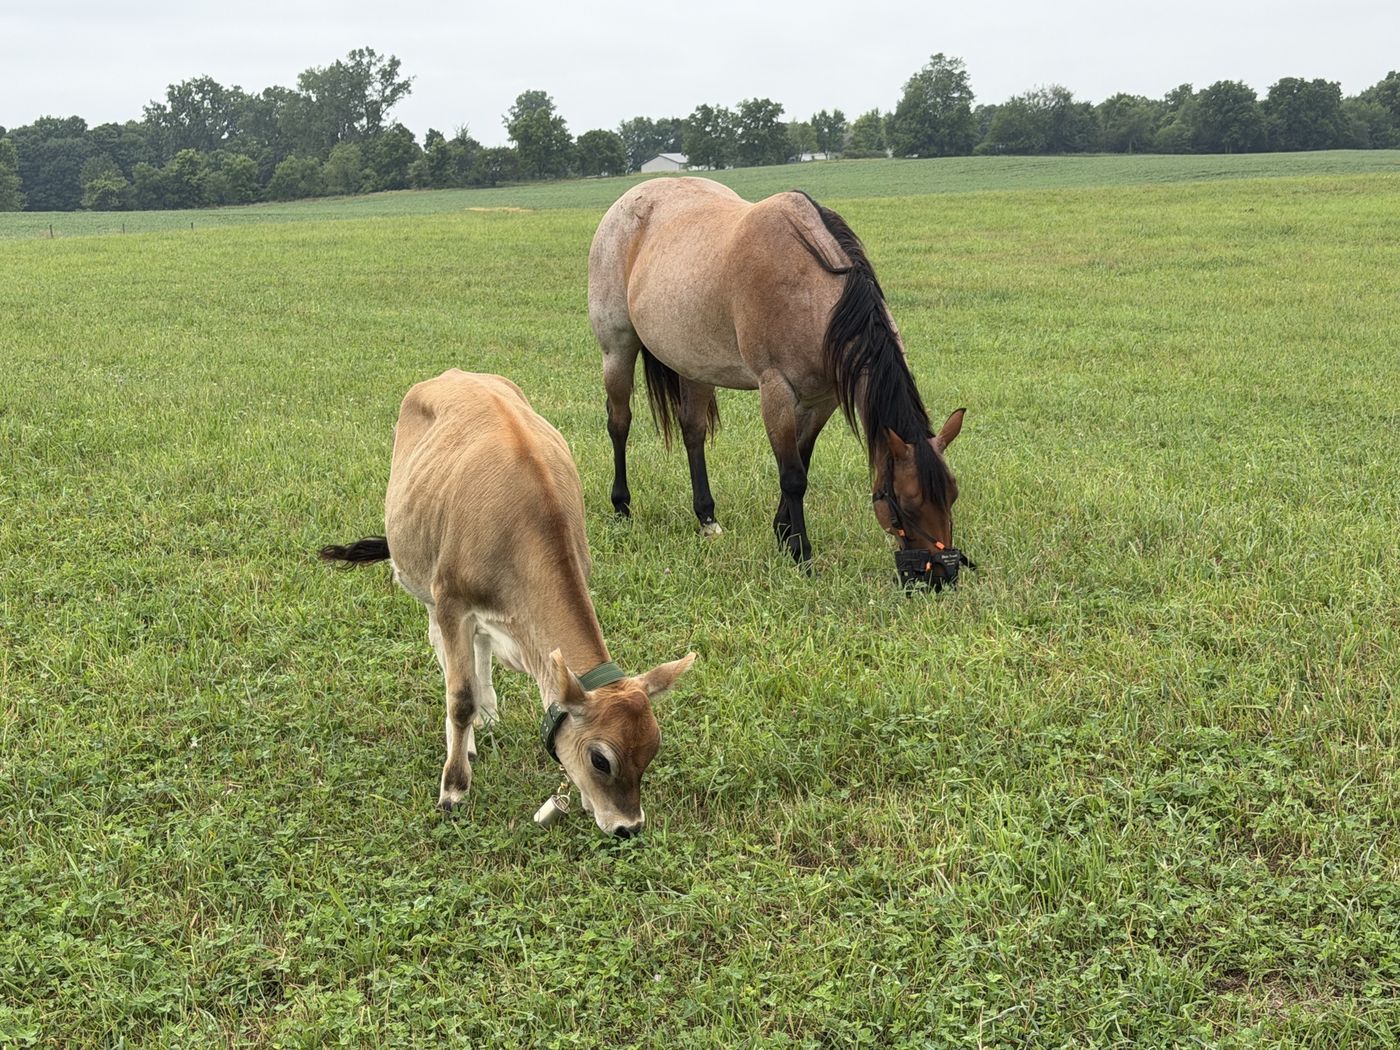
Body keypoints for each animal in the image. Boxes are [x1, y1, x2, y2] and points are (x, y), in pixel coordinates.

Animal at [320, 370, 695, 836]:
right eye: (600, 759)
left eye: (653, 748)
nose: (629, 827)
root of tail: (452, 374)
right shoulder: (452, 600)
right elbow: (458, 696)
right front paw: (453, 789)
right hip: (423, 574)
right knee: (442, 649)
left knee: (478, 648)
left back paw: (488, 712)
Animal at [588, 176, 970, 588]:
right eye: (902, 503)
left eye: (952, 495)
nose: (941, 576)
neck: (811, 293)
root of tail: (627, 200)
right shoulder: (776, 391)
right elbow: (793, 476)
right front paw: (802, 554)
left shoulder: (822, 400)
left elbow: (802, 459)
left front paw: (783, 532)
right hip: (617, 349)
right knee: (619, 423)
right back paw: (622, 507)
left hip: (695, 364)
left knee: (693, 431)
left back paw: (707, 518)